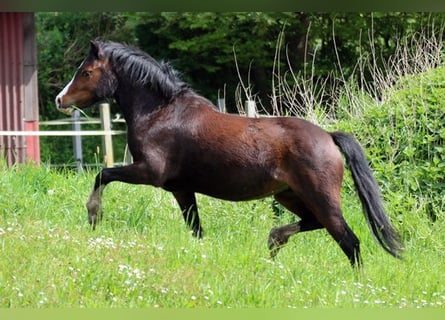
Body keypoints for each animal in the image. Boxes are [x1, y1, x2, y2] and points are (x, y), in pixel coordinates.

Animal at [55, 40, 402, 268]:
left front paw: (94, 215)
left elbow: (103, 173)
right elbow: (196, 229)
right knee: (311, 223)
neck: (160, 112)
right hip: (288, 195)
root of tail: (329, 137)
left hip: (319, 196)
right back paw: (274, 241)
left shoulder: (149, 173)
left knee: (349, 240)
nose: (60, 100)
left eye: (86, 72)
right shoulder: (181, 189)